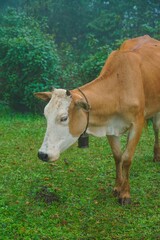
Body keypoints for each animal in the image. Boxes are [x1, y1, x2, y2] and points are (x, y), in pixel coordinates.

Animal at [35, 35, 160, 204]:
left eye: (64, 117)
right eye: (45, 115)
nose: (43, 154)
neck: (119, 88)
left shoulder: (137, 124)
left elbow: (127, 158)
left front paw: (125, 194)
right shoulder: (110, 126)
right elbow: (118, 157)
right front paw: (117, 187)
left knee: (156, 128)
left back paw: (156, 156)